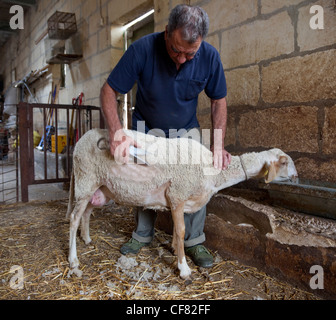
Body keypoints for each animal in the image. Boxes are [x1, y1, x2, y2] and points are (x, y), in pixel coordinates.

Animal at [67, 127, 298, 280]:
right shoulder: (177, 194)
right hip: (86, 178)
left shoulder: (181, 201)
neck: (213, 172)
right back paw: (73, 260)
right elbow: (180, 231)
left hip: (101, 188)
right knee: (73, 218)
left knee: (87, 211)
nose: (297, 177)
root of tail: (82, 139)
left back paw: (86, 238)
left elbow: (180, 231)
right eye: (284, 162)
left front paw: (175, 249)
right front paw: (183, 268)